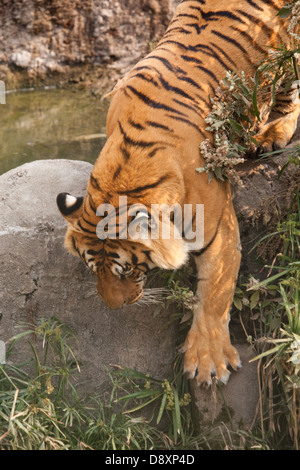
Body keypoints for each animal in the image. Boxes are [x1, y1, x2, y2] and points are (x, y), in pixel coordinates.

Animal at [56, 0, 300, 384]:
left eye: (125, 271)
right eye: (90, 268)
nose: (114, 307)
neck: (125, 168)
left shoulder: (217, 228)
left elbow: (214, 293)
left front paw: (209, 362)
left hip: (288, 56)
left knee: (290, 91)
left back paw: (272, 133)